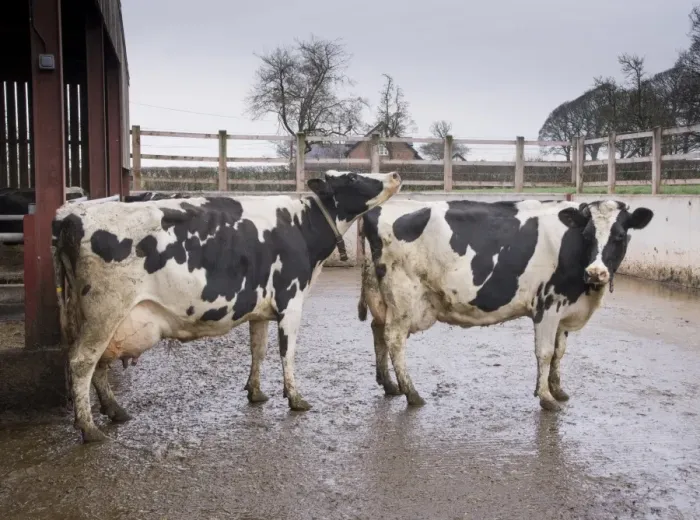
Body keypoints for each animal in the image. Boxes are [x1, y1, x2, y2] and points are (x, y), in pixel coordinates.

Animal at [52, 170, 402, 442]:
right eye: (352, 177)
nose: (395, 175)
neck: (302, 226)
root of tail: (72, 216)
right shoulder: (290, 300)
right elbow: (286, 352)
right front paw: (295, 398)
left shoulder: (261, 308)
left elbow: (258, 350)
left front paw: (255, 392)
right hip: (106, 309)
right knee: (82, 361)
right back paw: (89, 428)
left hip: (94, 316)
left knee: (98, 363)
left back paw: (115, 410)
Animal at [357, 199, 653, 411]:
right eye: (588, 234)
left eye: (620, 236)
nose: (596, 272)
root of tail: (378, 209)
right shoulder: (548, 305)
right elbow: (545, 353)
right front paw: (546, 397)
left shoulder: (564, 310)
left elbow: (559, 353)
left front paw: (557, 389)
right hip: (404, 298)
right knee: (394, 338)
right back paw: (412, 393)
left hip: (382, 296)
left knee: (377, 330)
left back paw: (389, 385)